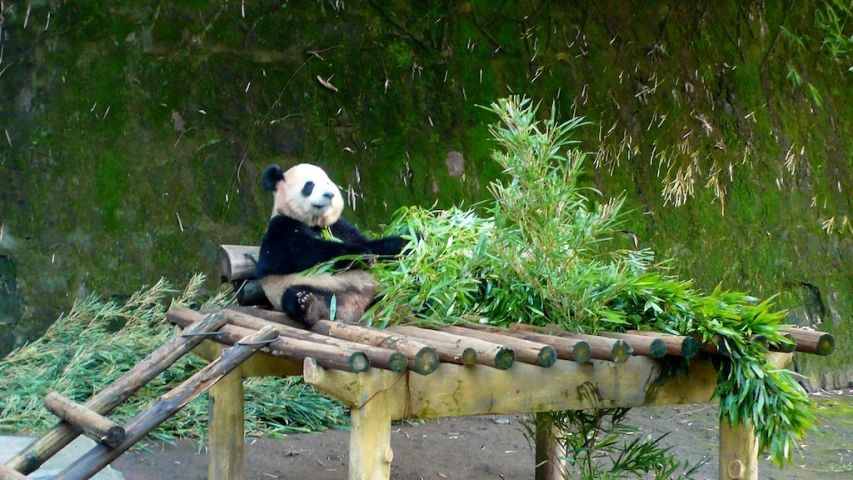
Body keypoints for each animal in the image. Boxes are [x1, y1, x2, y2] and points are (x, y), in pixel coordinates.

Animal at [255, 163, 408, 328]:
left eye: (327, 183)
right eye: (309, 185)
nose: (329, 195)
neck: (316, 222)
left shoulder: (339, 227)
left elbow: (375, 246)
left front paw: (408, 242)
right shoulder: (282, 226)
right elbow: (289, 254)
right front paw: (359, 254)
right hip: (317, 288)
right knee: (292, 295)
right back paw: (310, 306)